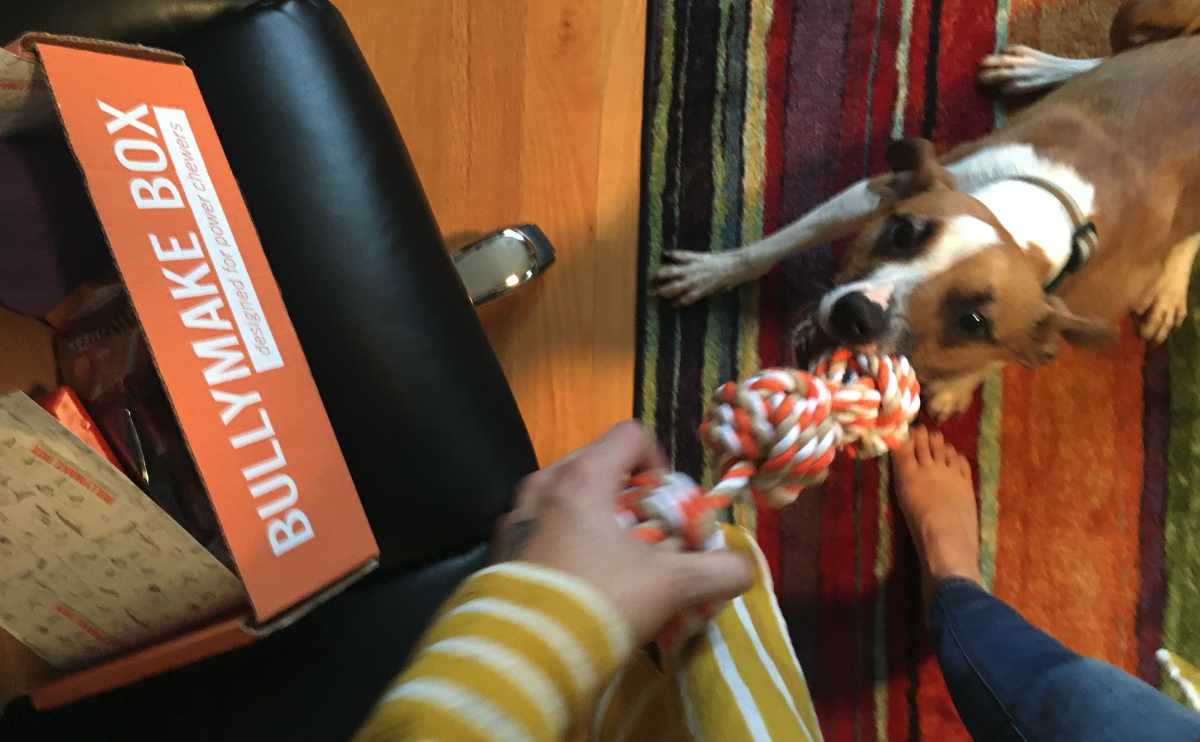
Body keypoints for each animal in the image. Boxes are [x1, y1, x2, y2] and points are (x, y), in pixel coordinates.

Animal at [652, 0, 1200, 415]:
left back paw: (1170, 285)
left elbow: (1007, 355)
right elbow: (774, 245)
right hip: (1135, 17)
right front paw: (710, 272)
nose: (857, 314)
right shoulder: (879, 191)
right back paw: (1041, 68)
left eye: (973, 322)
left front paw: (958, 384)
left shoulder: (1066, 317)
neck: (1030, 218)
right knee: (1121, 51)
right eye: (902, 233)